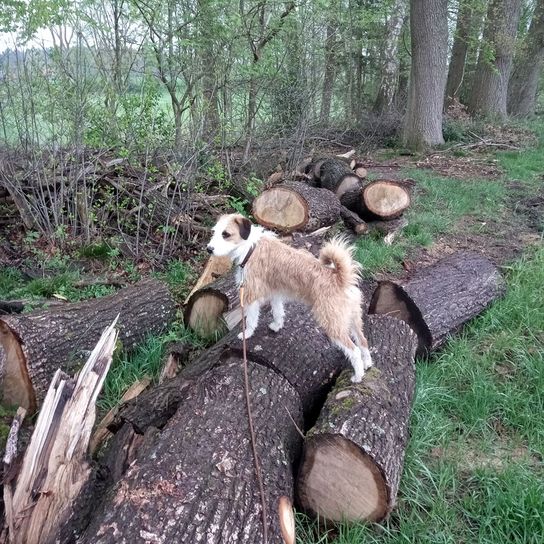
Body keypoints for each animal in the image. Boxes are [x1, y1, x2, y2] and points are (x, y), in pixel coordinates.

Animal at [206, 212, 372, 382]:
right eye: (214, 232)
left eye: (226, 234)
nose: (208, 249)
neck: (250, 248)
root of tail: (340, 278)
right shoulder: (275, 293)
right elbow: (278, 312)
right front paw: (277, 326)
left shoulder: (251, 295)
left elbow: (251, 319)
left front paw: (247, 334)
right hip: (353, 319)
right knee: (363, 341)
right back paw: (367, 364)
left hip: (333, 323)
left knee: (354, 350)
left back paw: (358, 376)